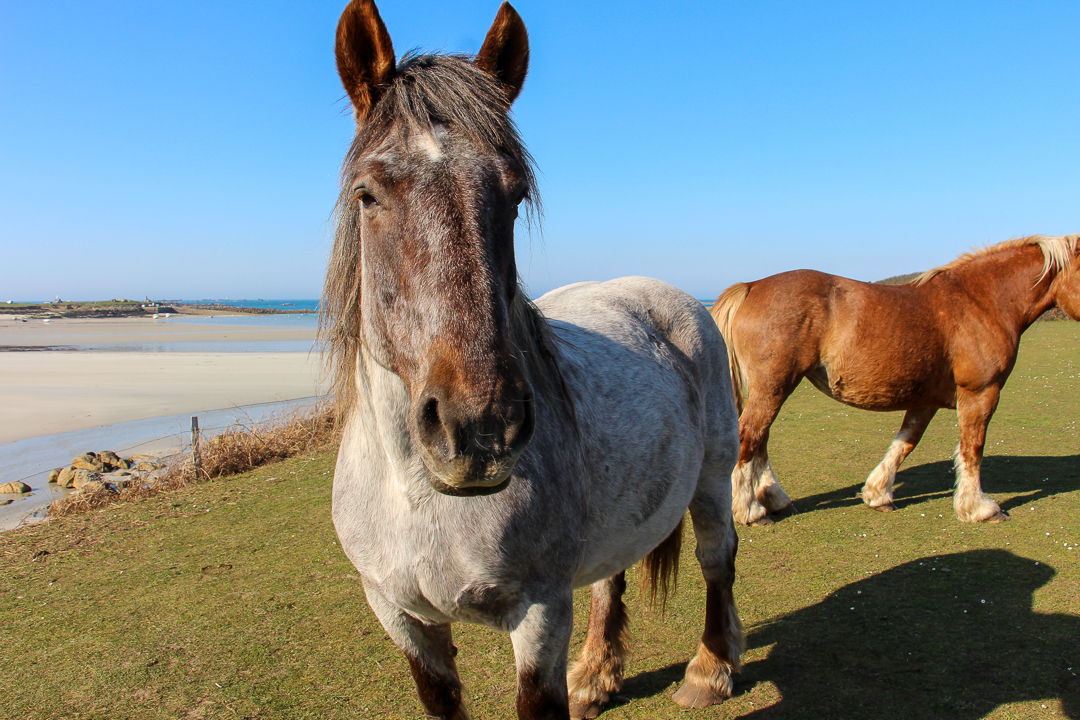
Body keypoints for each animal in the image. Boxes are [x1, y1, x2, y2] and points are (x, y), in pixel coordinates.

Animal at [319, 2, 743, 716]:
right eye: (367, 194)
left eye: (513, 196)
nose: (480, 427)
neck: (416, 495)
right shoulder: (404, 620)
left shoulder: (539, 611)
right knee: (607, 580)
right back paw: (596, 675)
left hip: (713, 476)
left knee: (719, 557)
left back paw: (710, 670)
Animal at [712, 234, 1075, 526]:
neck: (979, 300)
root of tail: (752, 286)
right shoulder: (981, 393)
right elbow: (972, 449)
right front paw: (980, 508)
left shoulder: (926, 401)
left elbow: (906, 443)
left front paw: (878, 493)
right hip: (773, 387)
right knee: (750, 437)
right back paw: (750, 512)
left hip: (772, 388)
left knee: (761, 440)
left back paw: (774, 499)